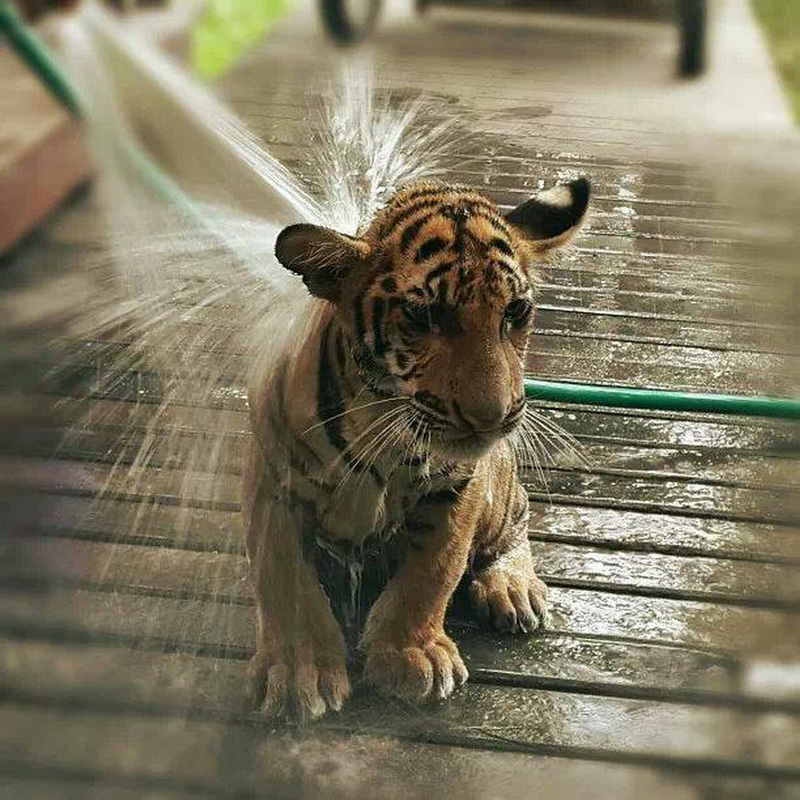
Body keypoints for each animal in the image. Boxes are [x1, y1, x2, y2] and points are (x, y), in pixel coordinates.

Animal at [244, 177, 590, 719]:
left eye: (514, 312)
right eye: (425, 315)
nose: (492, 417)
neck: (380, 416)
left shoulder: (460, 486)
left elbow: (433, 571)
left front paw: (410, 654)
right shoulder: (275, 480)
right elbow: (284, 578)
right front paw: (299, 673)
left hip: (501, 491)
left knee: (517, 518)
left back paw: (512, 588)